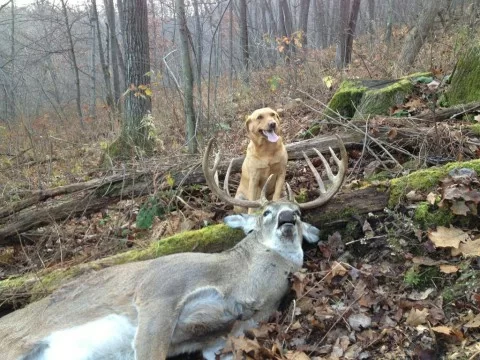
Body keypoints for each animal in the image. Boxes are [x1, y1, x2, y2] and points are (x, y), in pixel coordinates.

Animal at [0, 136, 346, 358]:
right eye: (266, 213)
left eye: (299, 214)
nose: (287, 217)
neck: (237, 287)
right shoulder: (158, 292)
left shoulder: (222, 339)